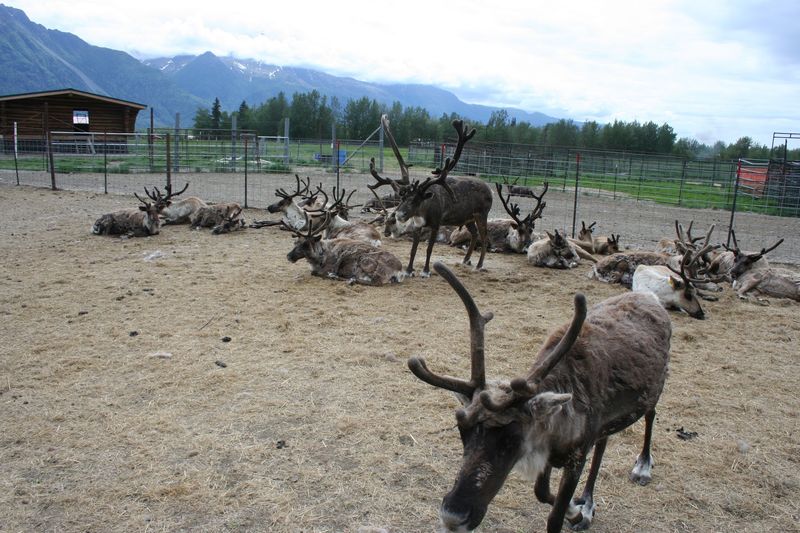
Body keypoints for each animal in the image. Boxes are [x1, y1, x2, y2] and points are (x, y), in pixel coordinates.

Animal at [369, 114, 493, 277]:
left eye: (417, 199)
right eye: (402, 197)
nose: (399, 215)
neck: (423, 211)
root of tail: (490, 189)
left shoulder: (436, 224)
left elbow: (429, 249)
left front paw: (426, 271)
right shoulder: (417, 225)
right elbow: (413, 249)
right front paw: (409, 270)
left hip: (481, 214)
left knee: (484, 237)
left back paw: (479, 265)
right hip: (468, 218)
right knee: (474, 234)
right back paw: (466, 260)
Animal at [408, 262, 671, 533]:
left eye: (511, 439)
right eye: (462, 431)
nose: (453, 516)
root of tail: (649, 297)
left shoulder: (576, 456)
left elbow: (554, 517)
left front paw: (572, 512)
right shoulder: (549, 451)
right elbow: (541, 492)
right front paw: (577, 512)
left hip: (656, 386)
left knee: (651, 414)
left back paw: (643, 466)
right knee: (604, 441)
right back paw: (587, 503)